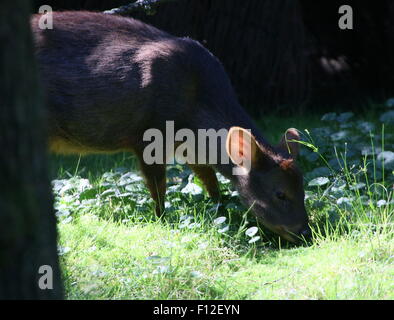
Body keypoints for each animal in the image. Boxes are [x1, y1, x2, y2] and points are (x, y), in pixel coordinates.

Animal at [32, 11, 310, 242]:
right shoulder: (147, 134)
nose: (305, 233)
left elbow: (209, 179)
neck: (194, 108)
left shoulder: (189, 146)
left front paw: (220, 209)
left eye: (303, 188)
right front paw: (161, 219)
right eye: (280, 194)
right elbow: (158, 188)